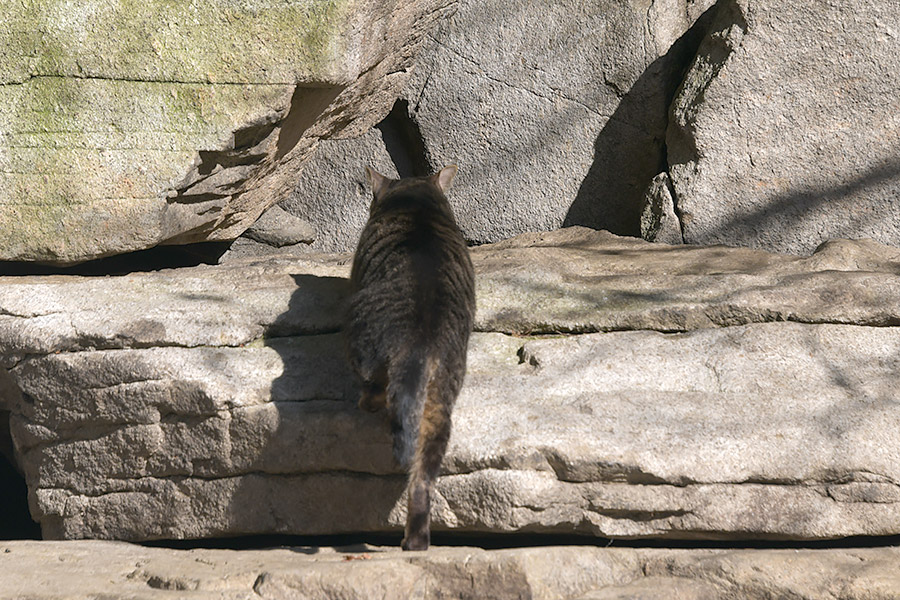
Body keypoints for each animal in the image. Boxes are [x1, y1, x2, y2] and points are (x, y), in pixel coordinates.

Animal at [344, 164, 474, 548]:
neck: (417, 204)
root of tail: (421, 338)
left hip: (362, 343)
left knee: (375, 390)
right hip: (441, 402)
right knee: (422, 480)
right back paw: (416, 541)